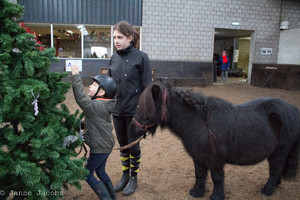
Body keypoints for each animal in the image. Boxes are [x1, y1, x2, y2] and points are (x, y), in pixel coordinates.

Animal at [131, 82, 300, 199]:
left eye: (147, 108)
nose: (132, 128)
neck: (201, 123)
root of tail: (293, 109)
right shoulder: (199, 157)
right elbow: (199, 174)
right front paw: (196, 192)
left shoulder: (215, 159)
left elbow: (217, 177)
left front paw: (216, 196)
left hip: (279, 152)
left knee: (275, 170)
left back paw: (267, 190)